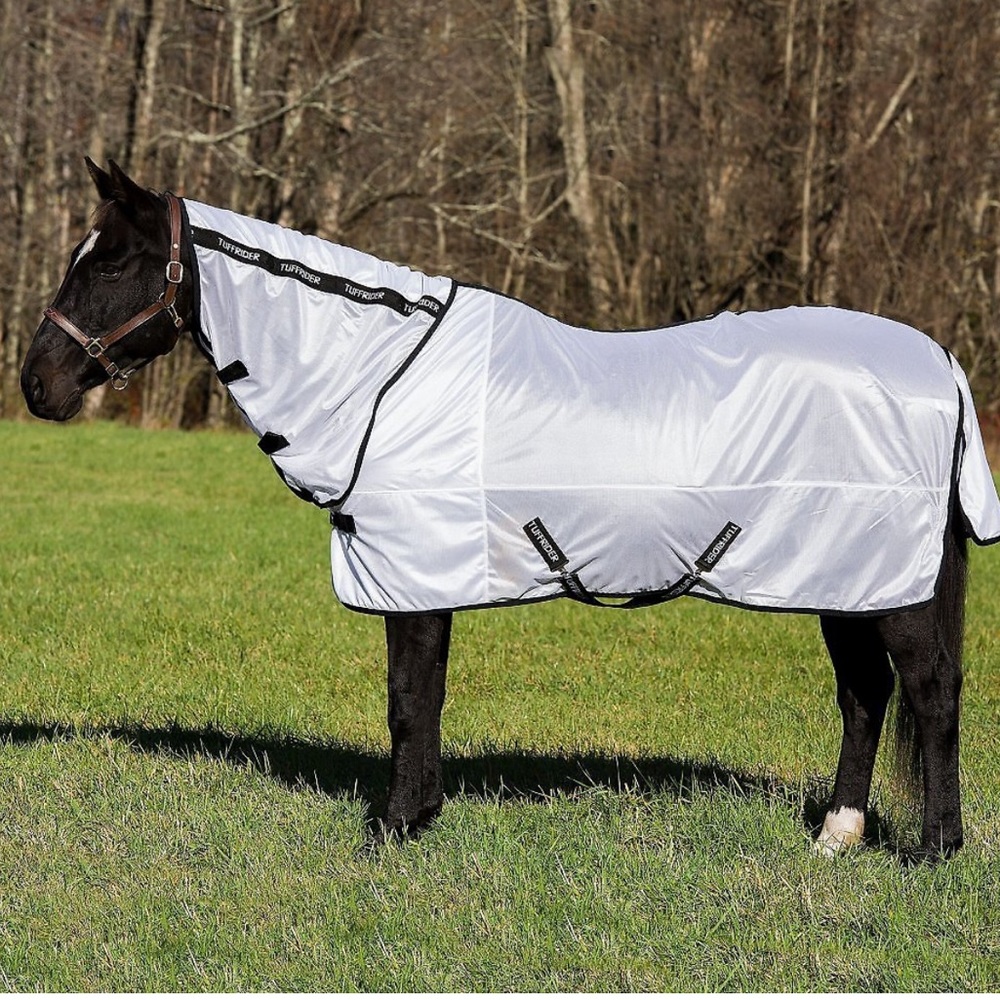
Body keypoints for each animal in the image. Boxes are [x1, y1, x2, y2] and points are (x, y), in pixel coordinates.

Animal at [21, 159, 1000, 860]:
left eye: (113, 260)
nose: (37, 385)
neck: (381, 376)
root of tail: (941, 362)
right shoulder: (425, 576)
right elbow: (425, 696)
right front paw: (419, 816)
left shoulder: (413, 573)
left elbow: (408, 699)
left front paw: (393, 828)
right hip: (845, 578)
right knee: (865, 694)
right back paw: (836, 837)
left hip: (890, 585)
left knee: (929, 690)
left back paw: (935, 849)